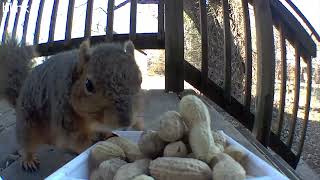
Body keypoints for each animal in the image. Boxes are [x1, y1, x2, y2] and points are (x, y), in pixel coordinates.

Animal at [0, 36, 144, 172]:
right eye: (88, 85)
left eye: (140, 78)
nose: (126, 122)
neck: (91, 120)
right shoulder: (64, 120)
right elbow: (76, 141)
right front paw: (89, 147)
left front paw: (108, 135)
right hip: (27, 125)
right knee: (27, 145)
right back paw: (29, 160)